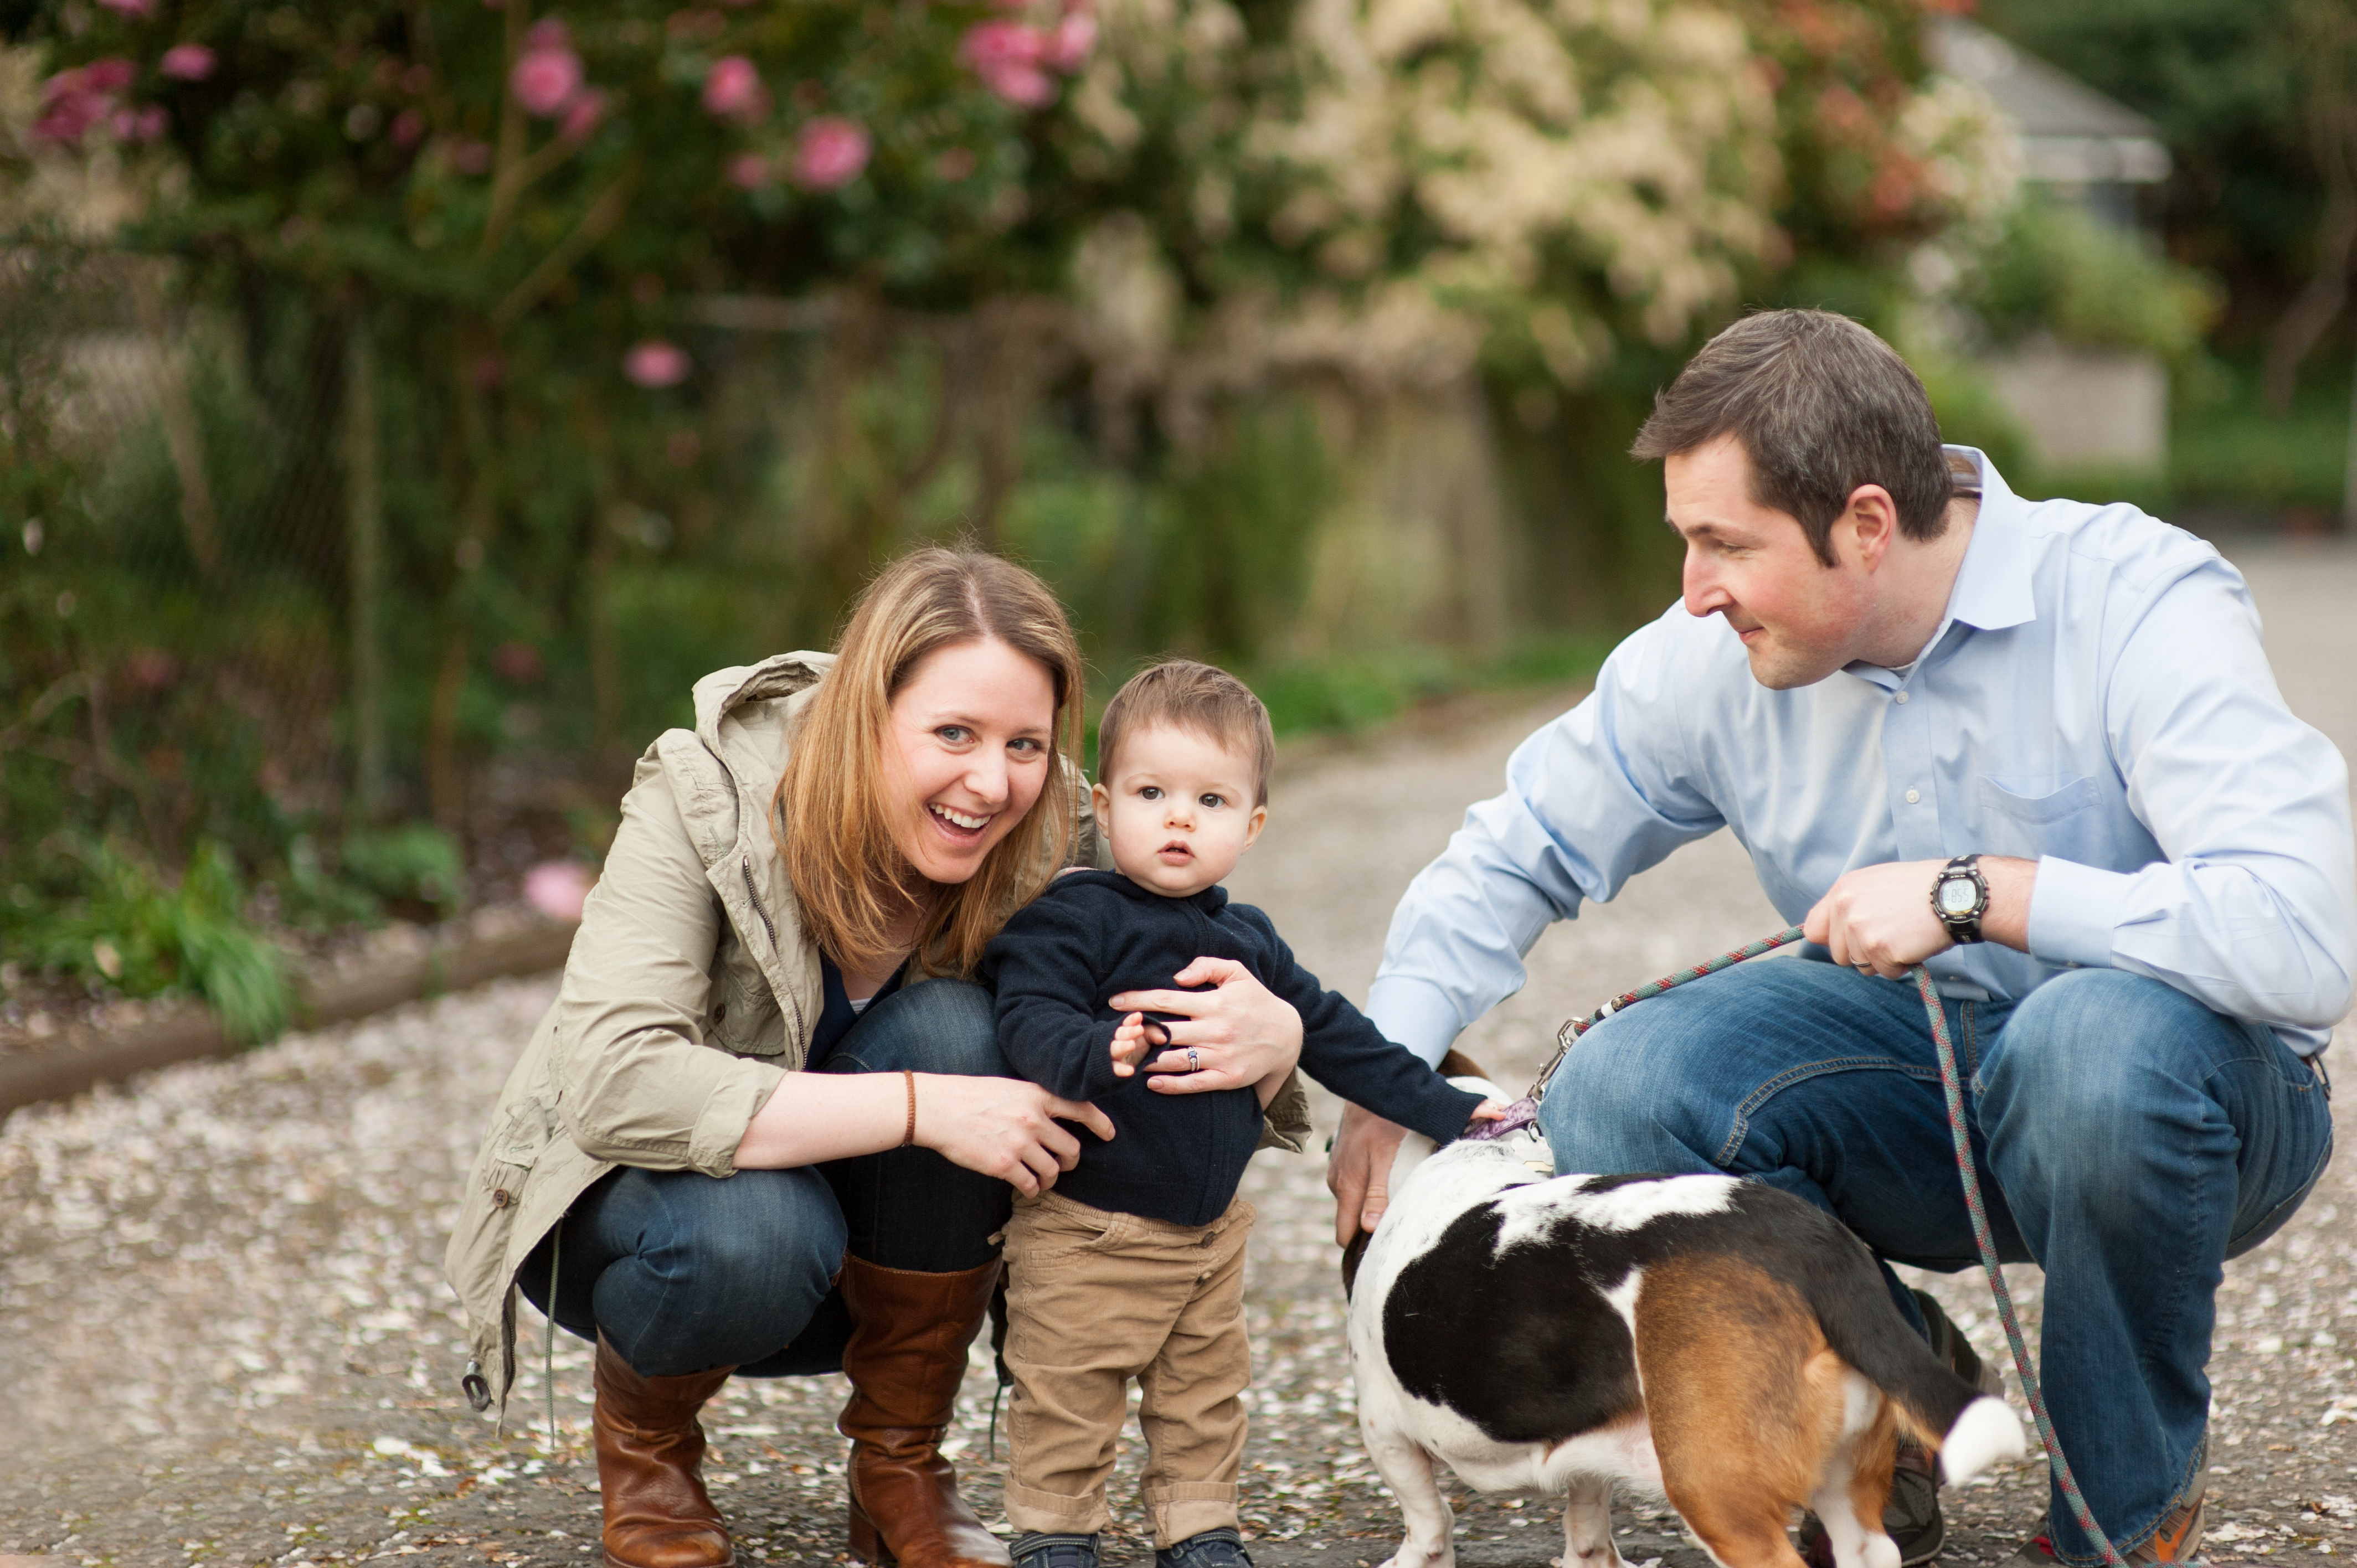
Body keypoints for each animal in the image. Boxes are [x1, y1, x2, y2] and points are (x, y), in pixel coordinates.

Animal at [1348, 1070, 2027, 1565]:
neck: (1480, 1153)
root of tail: (1815, 1247)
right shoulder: (1587, 1441)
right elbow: (1587, 1518)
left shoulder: (1384, 1431)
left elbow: (1428, 1522)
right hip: (1845, 1481)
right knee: (1869, 1549)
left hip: (1716, 1494)